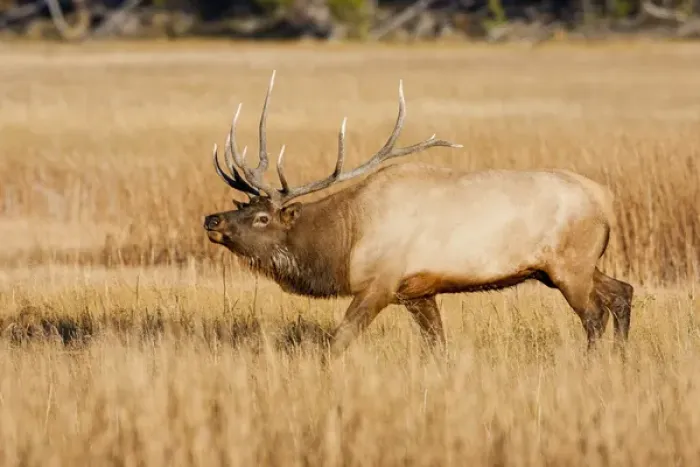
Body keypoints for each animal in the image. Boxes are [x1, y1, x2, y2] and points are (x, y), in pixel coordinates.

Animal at [203, 71, 634, 358]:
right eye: (243, 206)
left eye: (263, 218)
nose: (212, 220)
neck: (344, 242)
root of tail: (607, 200)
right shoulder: (418, 290)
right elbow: (437, 345)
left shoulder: (380, 282)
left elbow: (338, 341)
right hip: (566, 267)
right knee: (622, 292)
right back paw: (620, 357)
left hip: (570, 265)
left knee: (594, 313)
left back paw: (592, 362)